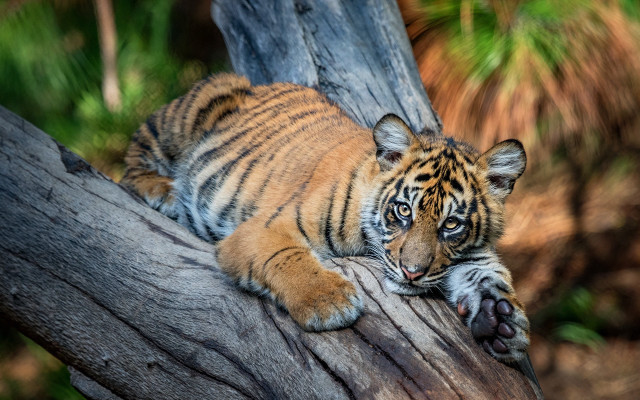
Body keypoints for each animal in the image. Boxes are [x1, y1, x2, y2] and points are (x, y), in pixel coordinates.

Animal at [121, 73, 530, 362]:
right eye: (403, 210)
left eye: (451, 224)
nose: (412, 273)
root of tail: (262, 84)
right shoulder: (265, 228)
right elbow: (286, 257)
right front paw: (329, 301)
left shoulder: (472, 253)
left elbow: (489, 274)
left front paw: (501, 322)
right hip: (194, 105)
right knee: (134, 154)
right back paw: (163, 193)